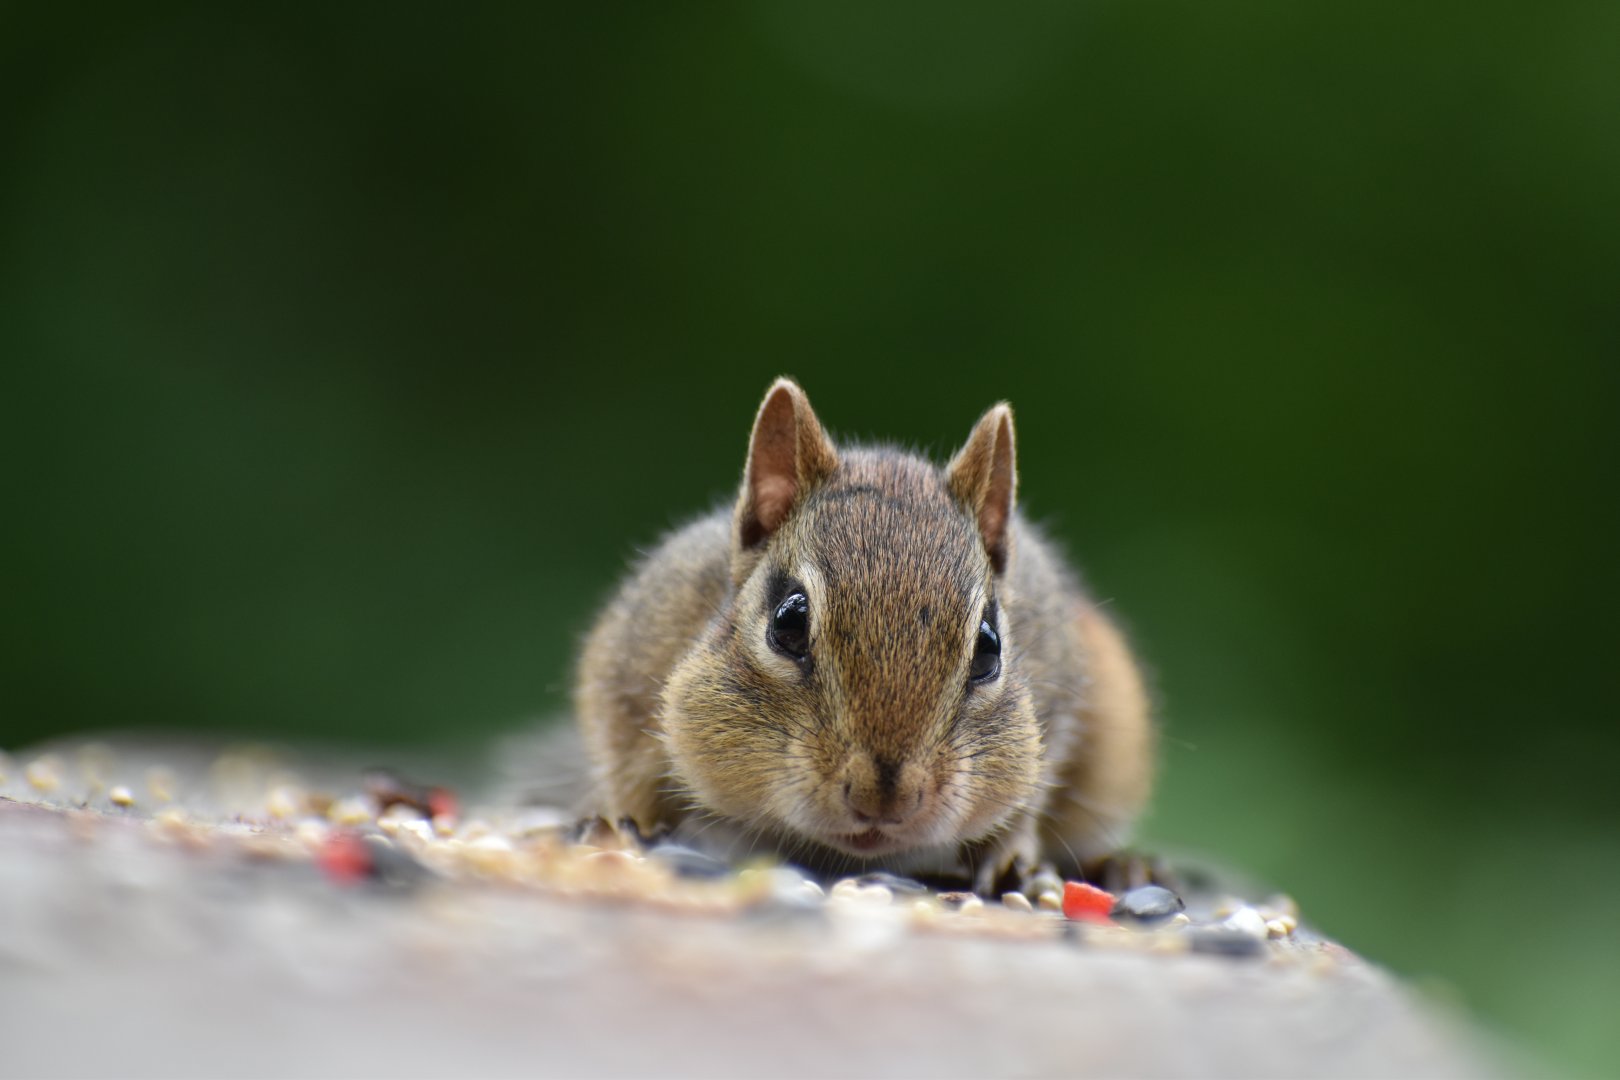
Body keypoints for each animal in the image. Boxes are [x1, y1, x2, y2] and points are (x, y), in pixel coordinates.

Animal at [574, 378, 1154, 893]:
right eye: (787, 622)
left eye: (989, 647)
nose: (884, 799)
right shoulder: (630, 666)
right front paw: (620, 828)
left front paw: (1012, 857)